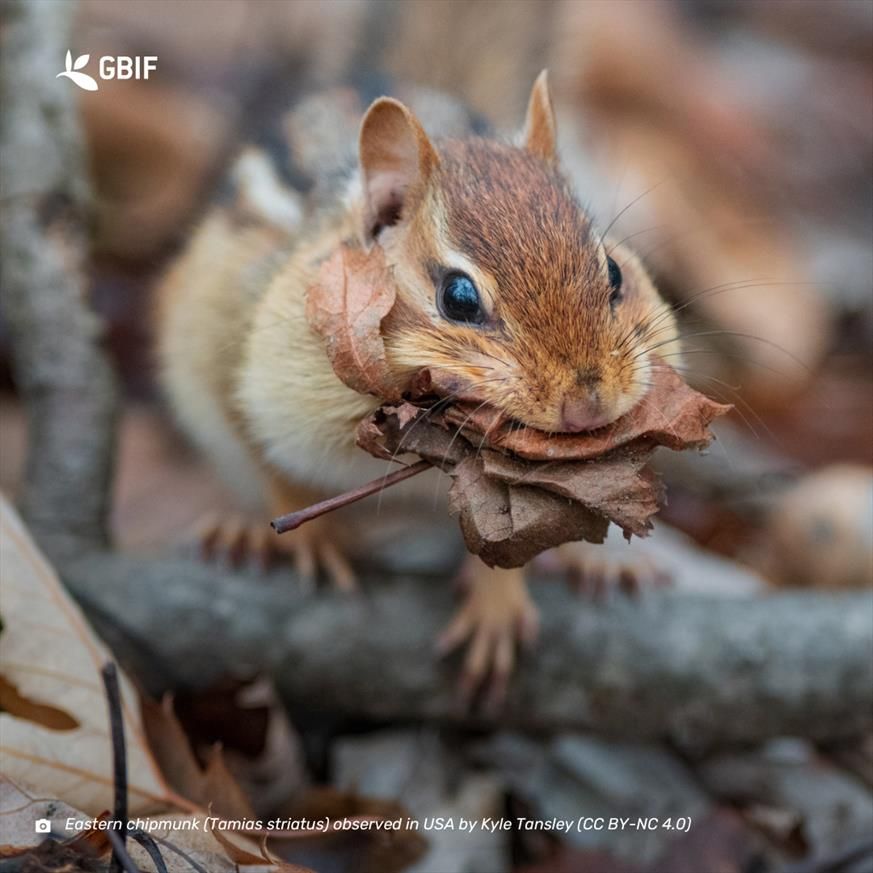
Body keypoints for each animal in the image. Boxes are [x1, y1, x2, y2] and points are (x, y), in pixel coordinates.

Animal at [155, 73, 681, 703]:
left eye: (615, 273)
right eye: (458, 297)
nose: (587, 403)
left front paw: (496, 607)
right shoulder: (244, 370)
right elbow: (269, 463)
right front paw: (309, 541)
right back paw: (241, 532)